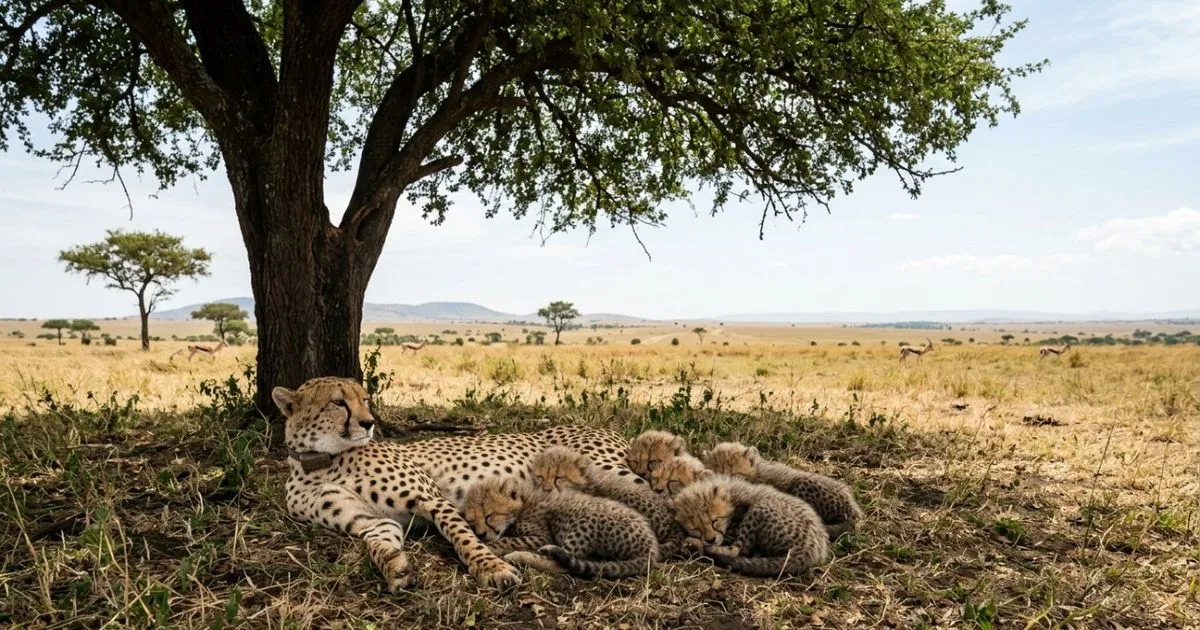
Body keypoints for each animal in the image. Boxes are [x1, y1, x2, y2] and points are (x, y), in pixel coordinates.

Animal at [275, 376, 636, 592]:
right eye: (338, 402)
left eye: (365, 399)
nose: (369, 423)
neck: (321, 462)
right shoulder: (370, 521)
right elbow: (379, 545)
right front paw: (395, 568)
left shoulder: (432, 498)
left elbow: (464, 538)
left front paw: (492, 568)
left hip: (609, 470)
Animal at [463, 476, 659, 578]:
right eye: (472, 522)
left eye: (489, 516)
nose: (480, 534)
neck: (525, 500)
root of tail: (651, 546)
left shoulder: (541, 536)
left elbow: (508, 541)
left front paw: (490, 546)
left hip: (583, 520)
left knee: (562, 564)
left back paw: (521, 555)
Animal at [674, 476, 829, 577]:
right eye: (696, 529)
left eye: (715, 521)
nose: (711, 539)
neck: (731, 497)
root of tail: (813, 548)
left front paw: (694, 542)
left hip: (759, 508)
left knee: (737, 550)